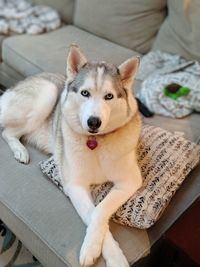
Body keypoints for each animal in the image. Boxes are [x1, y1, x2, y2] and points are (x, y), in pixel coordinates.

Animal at [0, 46, 143, 267]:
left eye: (109, 96)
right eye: (85, 93)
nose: (94, 122)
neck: (96, 143)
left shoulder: (130, 181)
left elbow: (101, 209)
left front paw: (114, 257)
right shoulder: (75, 185)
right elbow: (92, 213)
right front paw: (96, 250)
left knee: (10, 132)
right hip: (48, 93)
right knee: (7, 131)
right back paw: (20, 150)